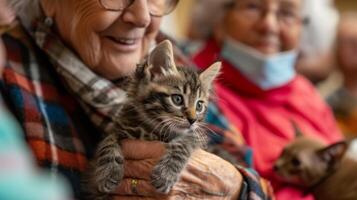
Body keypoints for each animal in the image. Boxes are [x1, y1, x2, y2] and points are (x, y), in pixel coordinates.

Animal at [85, 39, 221, 199]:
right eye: (177, 99)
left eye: (199, 105)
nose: (192, 120)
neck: (151, 127)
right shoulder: (120, 128)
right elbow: (109, 140)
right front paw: (109, 171)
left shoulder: (195, 137)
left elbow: (184, 143)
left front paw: (166, 173)